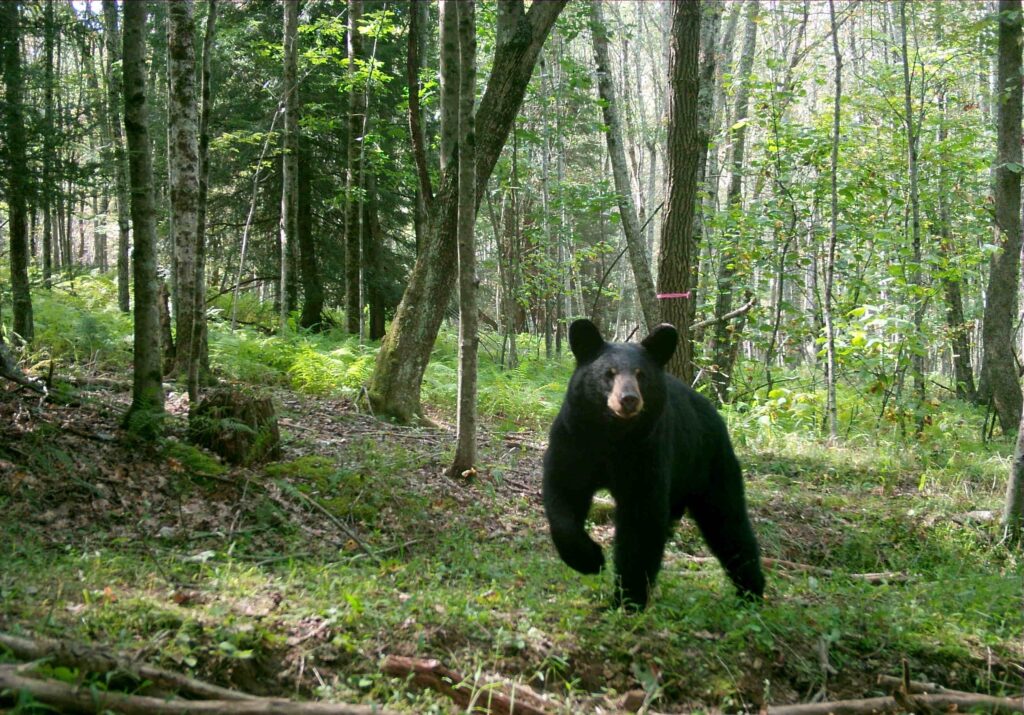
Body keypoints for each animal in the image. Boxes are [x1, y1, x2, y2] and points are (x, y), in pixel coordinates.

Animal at [542, 319, 764, 610]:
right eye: (609, 373)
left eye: (640, 374)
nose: (628, 399)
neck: (612, 437)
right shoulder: (574, 440)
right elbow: (564, 494)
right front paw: (590, 558)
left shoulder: (647, 452)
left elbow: (641, 522)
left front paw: (628, 599)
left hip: (709, 463)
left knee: (729, 524)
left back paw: (752, 593)